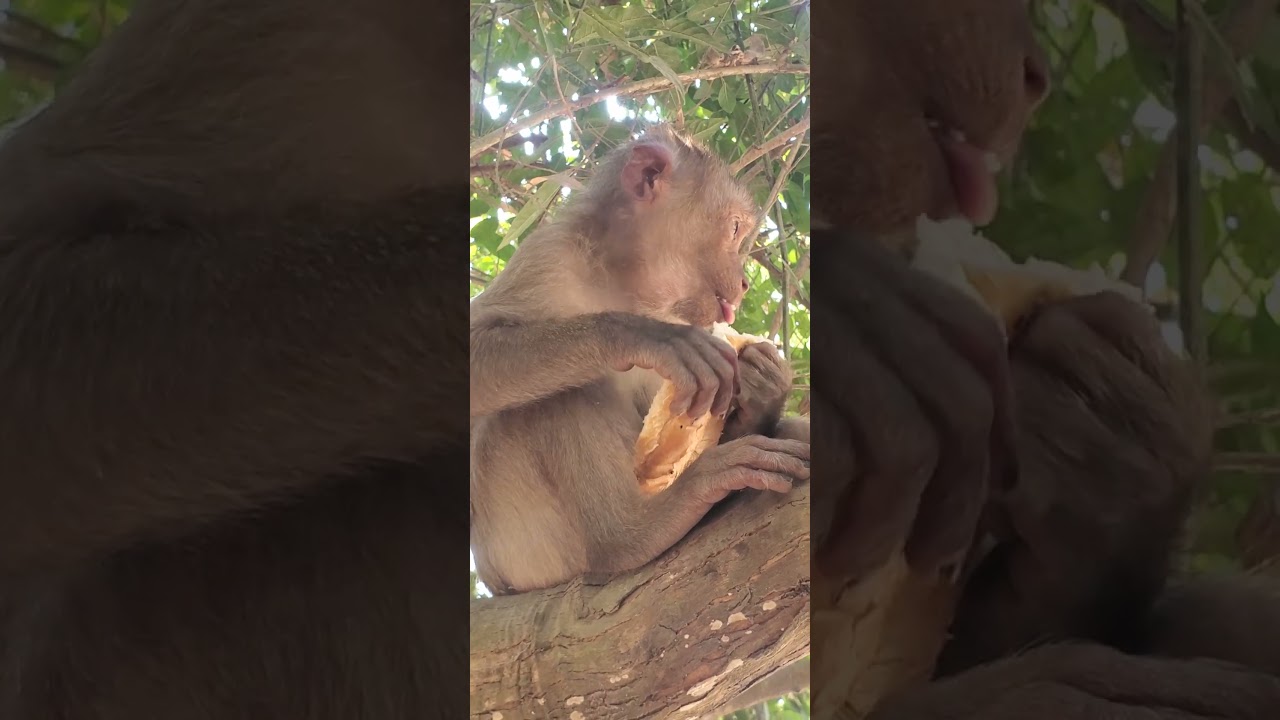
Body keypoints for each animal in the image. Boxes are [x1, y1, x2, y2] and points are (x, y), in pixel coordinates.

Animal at [469, 125, 810, 595]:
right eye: (735, 228)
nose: (743, 282)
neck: (623, 284)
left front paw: (764, 382)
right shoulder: (549, 254)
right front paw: (640, 336)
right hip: (522, 547)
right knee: (557, 395)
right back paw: (632, 534)